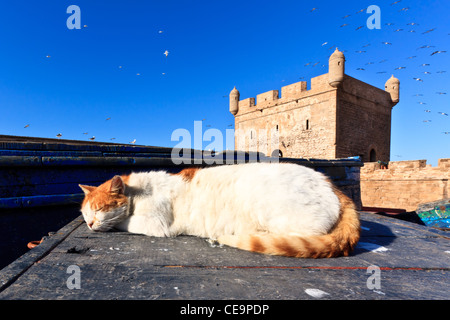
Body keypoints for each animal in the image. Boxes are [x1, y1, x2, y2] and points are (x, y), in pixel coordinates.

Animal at [79, 162, 360, 258]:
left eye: (99, 209)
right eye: (84, 214)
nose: (90, 224)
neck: (138, 192)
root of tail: (331, 184)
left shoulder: (158, 224)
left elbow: (125, 221)